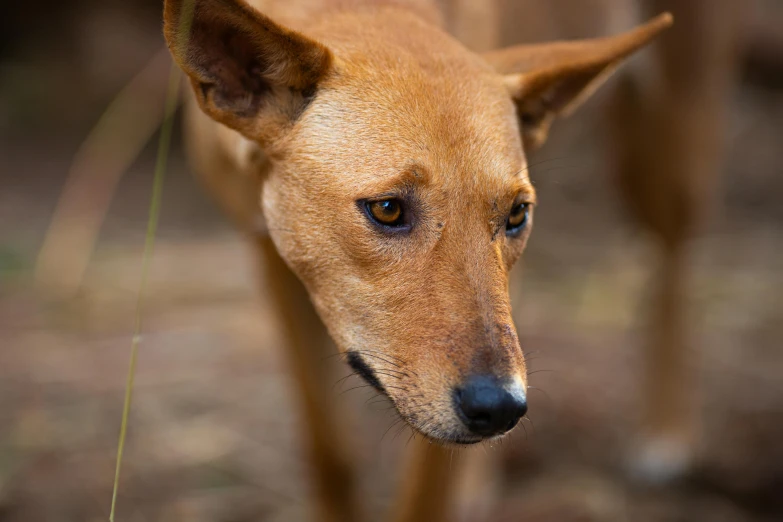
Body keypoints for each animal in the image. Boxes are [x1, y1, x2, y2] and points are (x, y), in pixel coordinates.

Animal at [162, 1, 672, 520]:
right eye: (388, 209)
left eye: (516, 214)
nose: (502, 408)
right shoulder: (271, 258)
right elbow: (329, 451)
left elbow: (425, 495)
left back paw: (667, 432)